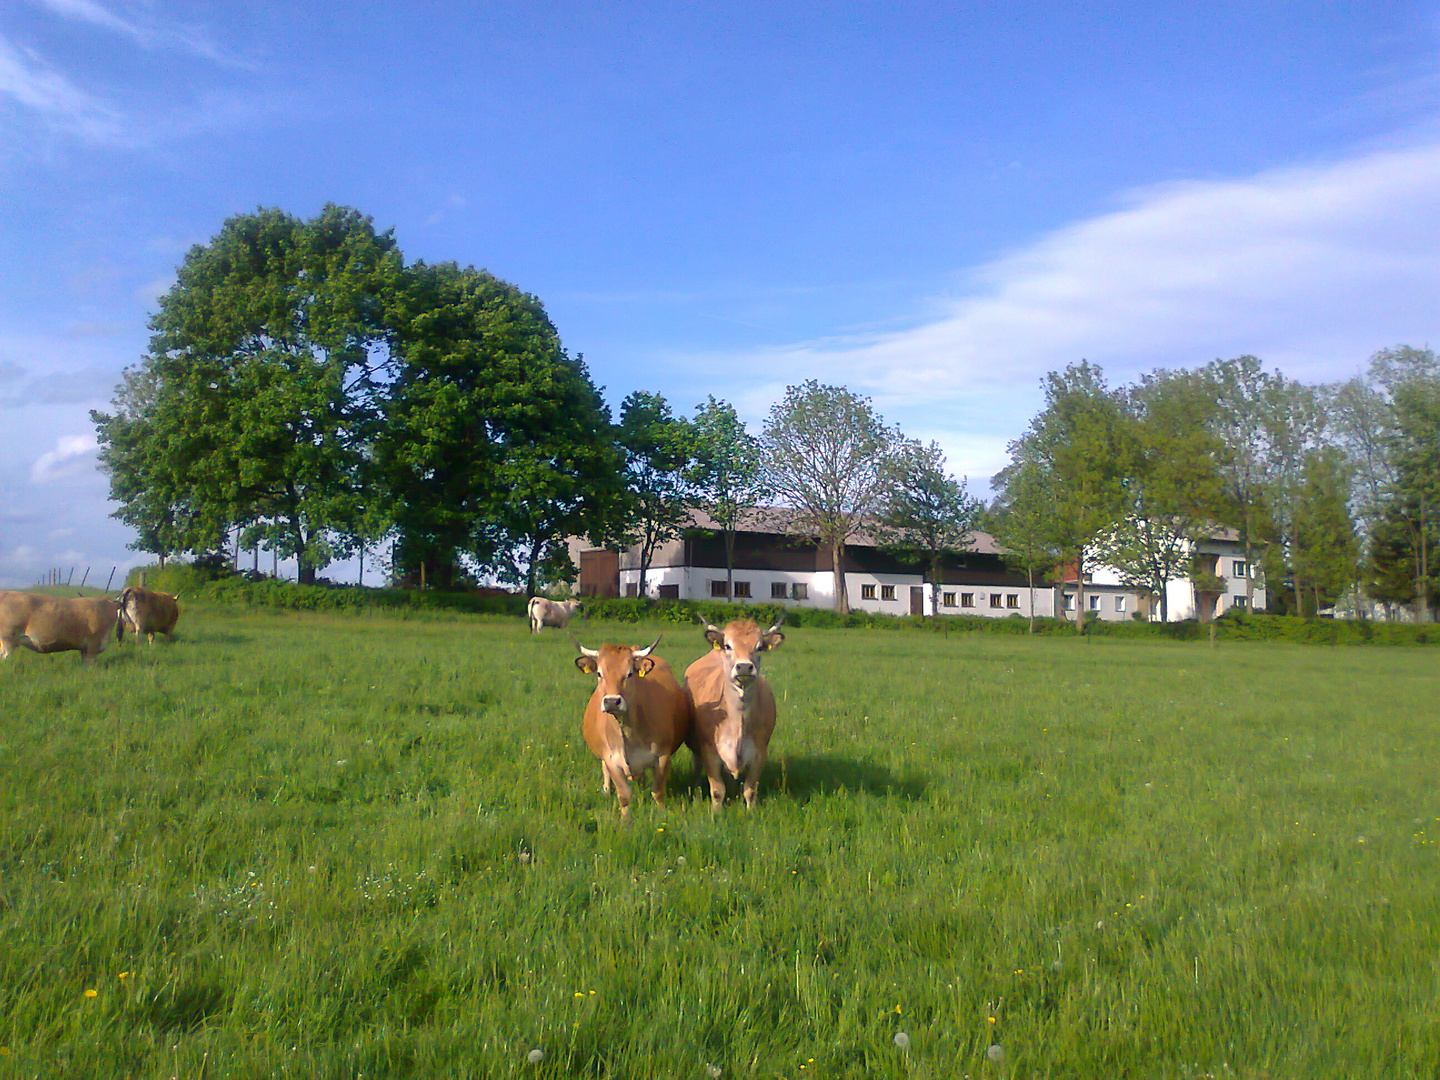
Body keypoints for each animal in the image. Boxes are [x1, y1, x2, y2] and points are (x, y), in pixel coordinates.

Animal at [570, 633, 688, 817]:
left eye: (630, 673)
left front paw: (661, 814)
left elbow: (658, 792)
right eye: (599, 673)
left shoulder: (662, 756)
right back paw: (606, 790)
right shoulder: (611, 759)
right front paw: (625, 820)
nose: (612, 701)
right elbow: (624, 795)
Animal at [685, 616, 789, 812]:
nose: (744, 667)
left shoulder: (759, 753)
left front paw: (751, 813)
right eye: (728, 645)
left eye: (759, 647)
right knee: (696, 769)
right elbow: (717, 790)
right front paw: (716, 813)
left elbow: (750, 790)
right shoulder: (710, 751)